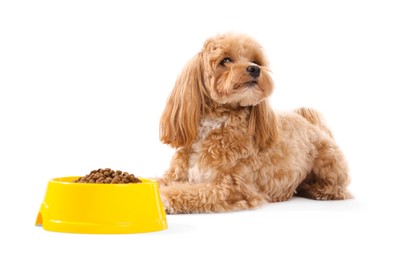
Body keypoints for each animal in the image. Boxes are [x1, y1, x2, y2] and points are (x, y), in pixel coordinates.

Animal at [156, 32, 352, 213]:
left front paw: (164, 198)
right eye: (225, 60)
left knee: (338, 188)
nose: (254, 69)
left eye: (255, 60)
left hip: (328, 162)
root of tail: (311, 124)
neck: (216, 124)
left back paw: (317, 190)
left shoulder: (230, 188)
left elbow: (191, 191)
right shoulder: (175, 176)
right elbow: (159, 181)